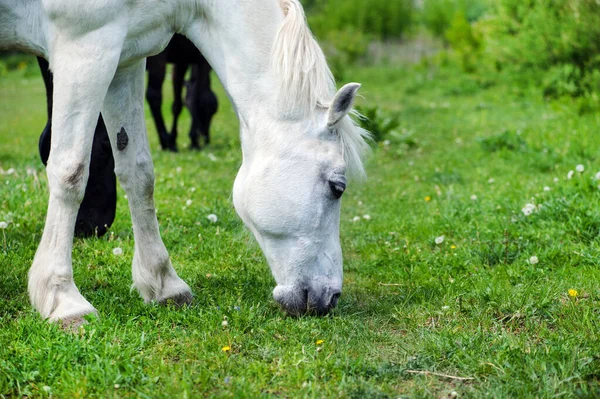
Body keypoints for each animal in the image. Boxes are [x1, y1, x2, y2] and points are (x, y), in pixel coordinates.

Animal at [37, 34, 218, 238]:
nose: (84, 228)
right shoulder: (194, 59)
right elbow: (197, 95)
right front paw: (189, 139)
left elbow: (190, 97)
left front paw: (187, 138)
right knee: (155, 95)